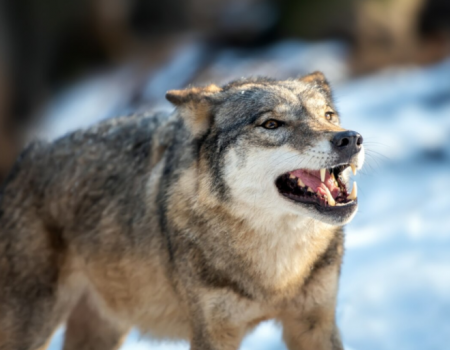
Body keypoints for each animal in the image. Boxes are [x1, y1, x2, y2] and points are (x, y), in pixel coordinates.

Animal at [0, 72, 366, 350]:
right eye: (272, 124)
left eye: (328, 116)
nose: (350, 138)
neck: (277, 273)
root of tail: (22, 162)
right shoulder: (212, 333)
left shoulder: (314, 324)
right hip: (34, 327)